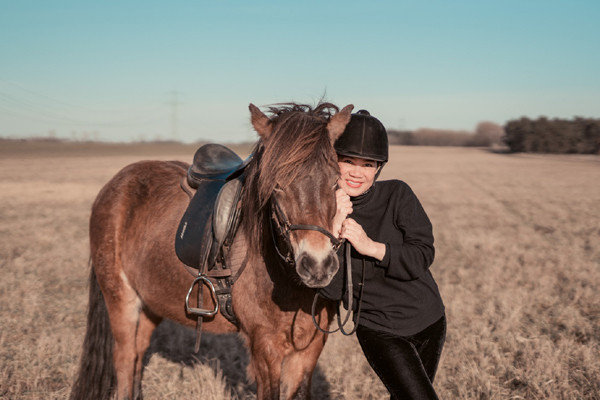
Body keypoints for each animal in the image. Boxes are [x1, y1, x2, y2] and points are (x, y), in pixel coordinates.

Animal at [69, 103, 356, 400]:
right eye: (276, 183)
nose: (317, 265)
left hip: (149, 302)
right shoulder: (265, 348)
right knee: (125, 361)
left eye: (335, 181)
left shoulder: (309, 348)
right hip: (120, 299)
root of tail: (115, 185)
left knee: (137, 354)